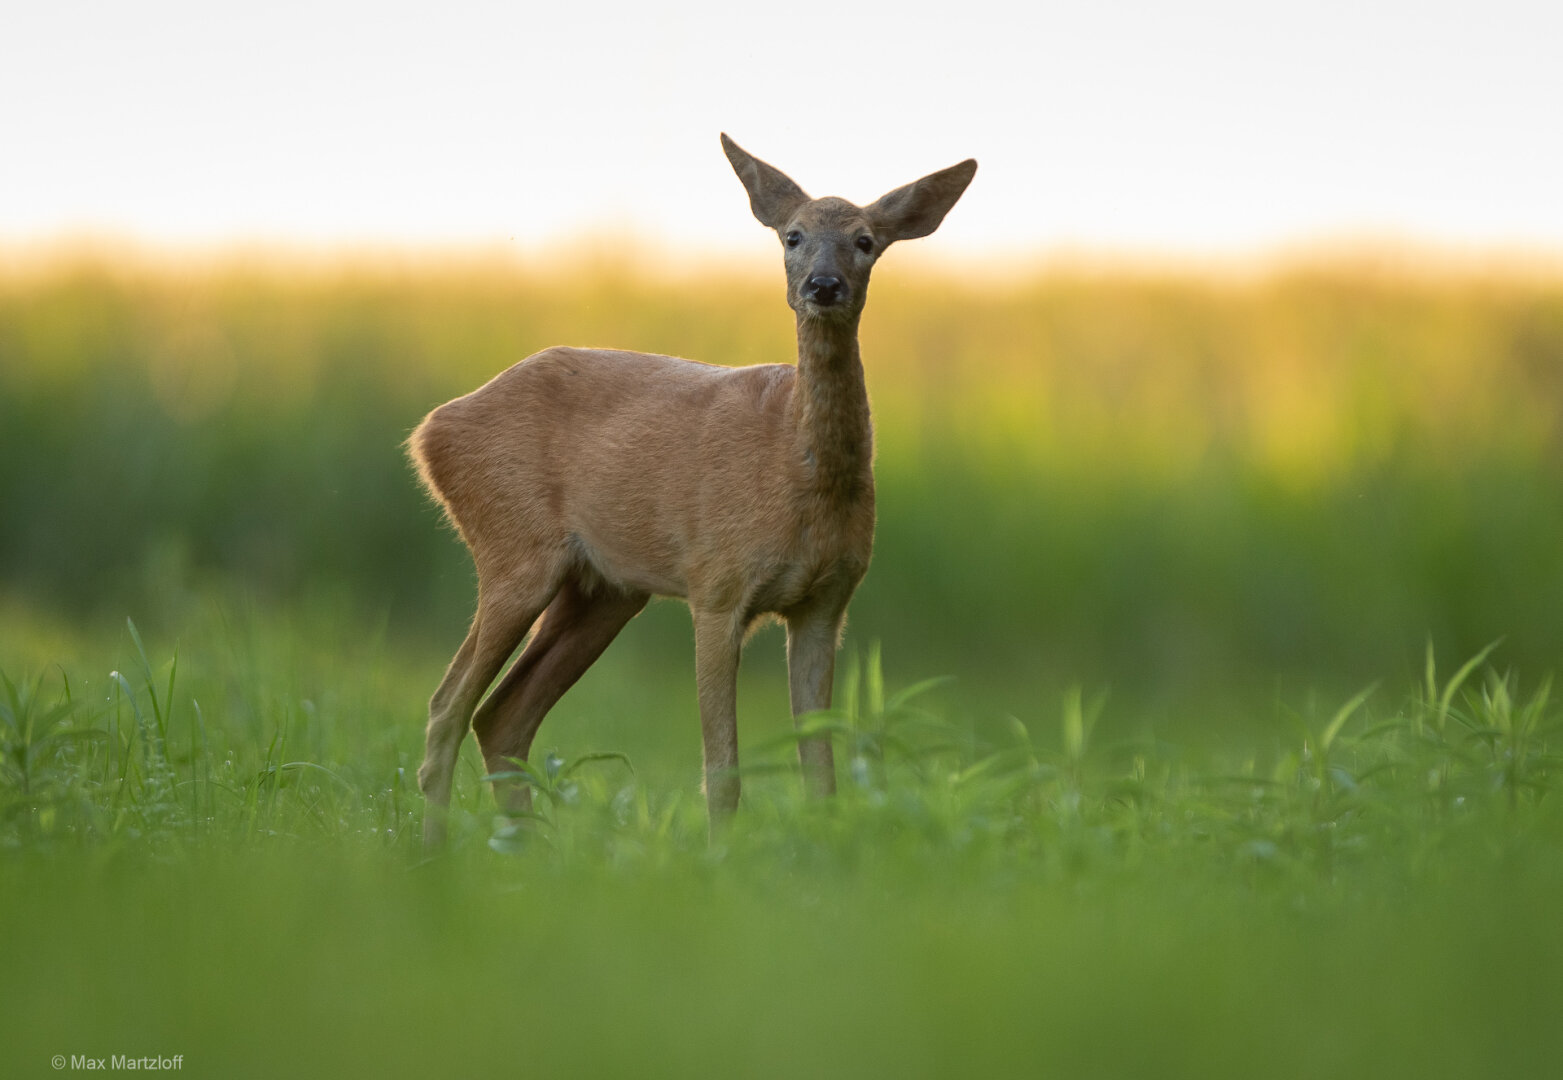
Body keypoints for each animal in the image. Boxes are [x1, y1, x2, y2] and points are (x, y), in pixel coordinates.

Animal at [408, 134, 976, 846]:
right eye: (792, 236)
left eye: (866, 240)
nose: (824, 286)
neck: (797, 472)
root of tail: (430, 431)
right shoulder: (716, 585)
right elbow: (721, 772)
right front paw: (720, 858)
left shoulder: (827, 603)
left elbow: (821, 771)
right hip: (515, 548)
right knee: (446, 707)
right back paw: (436, 853)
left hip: (605, 590)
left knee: (501, 715)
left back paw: (524, 849)